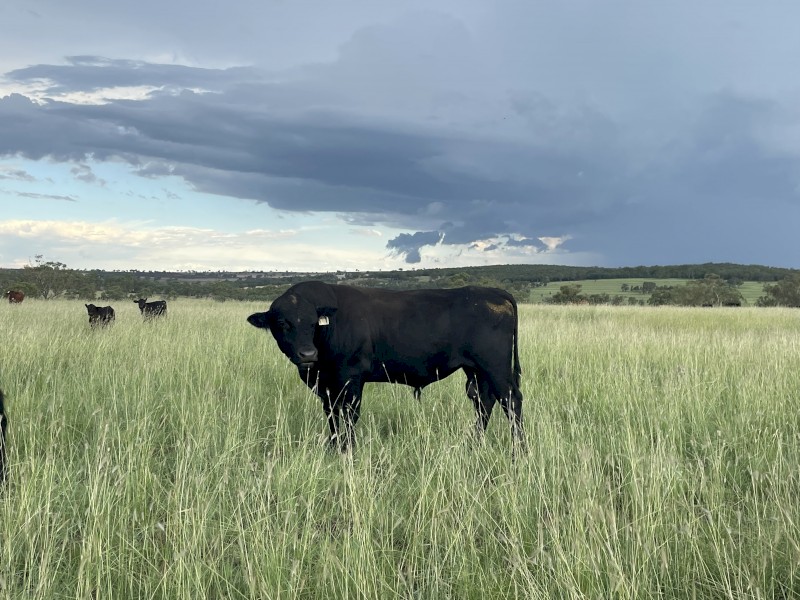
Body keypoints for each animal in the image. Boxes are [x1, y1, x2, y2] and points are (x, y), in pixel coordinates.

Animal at [247, 281, 524, 451]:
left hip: (496, 367)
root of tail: (494, 293)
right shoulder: (326, 386)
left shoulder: (351, 379)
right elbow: (332, 416)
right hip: (477, 370)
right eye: (281, 323)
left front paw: (348, 450)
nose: (307, 354)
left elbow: (349, 416)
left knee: (511, 401)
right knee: (483, 402)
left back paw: (519, 450)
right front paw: (334, 447)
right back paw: (473, 444)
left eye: (313, 322)